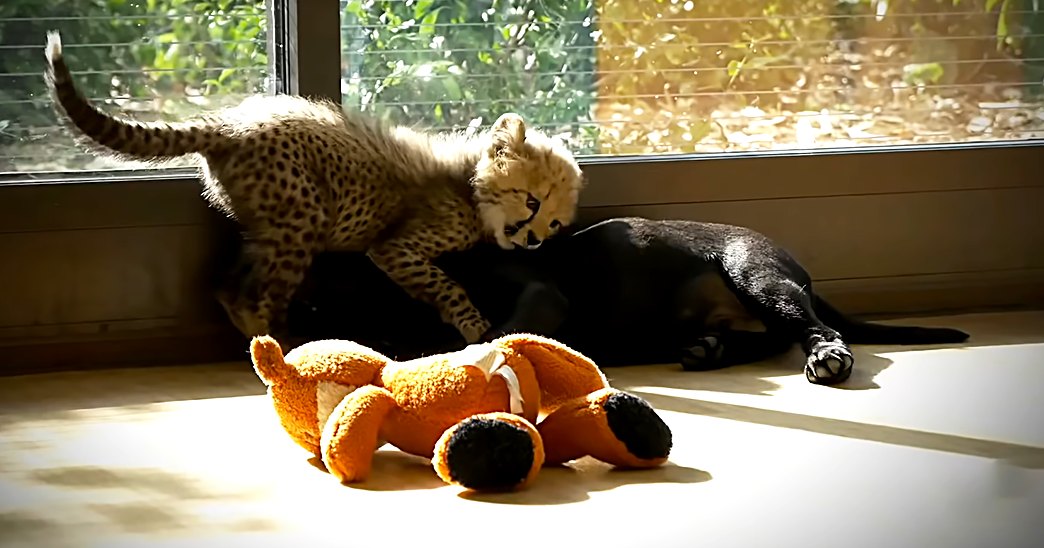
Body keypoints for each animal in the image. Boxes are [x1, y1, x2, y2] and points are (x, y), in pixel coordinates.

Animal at [42, 30, 584, 347]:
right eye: (531, 201)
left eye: (555, 222)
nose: (534, 239)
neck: (470, 183)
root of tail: (233, 123)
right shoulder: (395, 249)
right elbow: (445, 284)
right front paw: (474, 326)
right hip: (302, 220)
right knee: (254, 297)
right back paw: (281, 348)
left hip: (271, 225)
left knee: (227, 285)